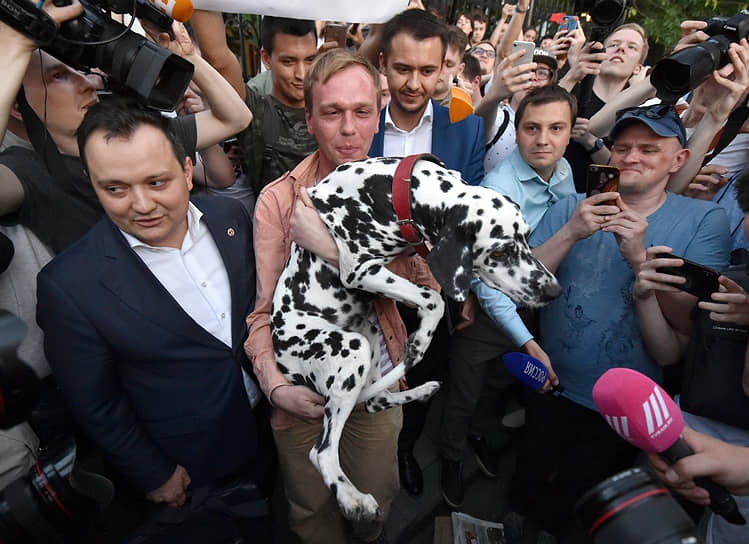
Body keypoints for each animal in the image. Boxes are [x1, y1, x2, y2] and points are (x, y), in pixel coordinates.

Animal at [272, 155, 560, 520]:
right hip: (351, 349)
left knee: (375, 400)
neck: (392, 190)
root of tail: (282, 360)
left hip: (368, 339)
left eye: (526, 237)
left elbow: (428, 293)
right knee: (321, 452)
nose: (554, 291)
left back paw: (423, 389)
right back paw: (352, 497)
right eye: (500, 252)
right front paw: (421, 339)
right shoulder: (361, 270)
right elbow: (434, 298)